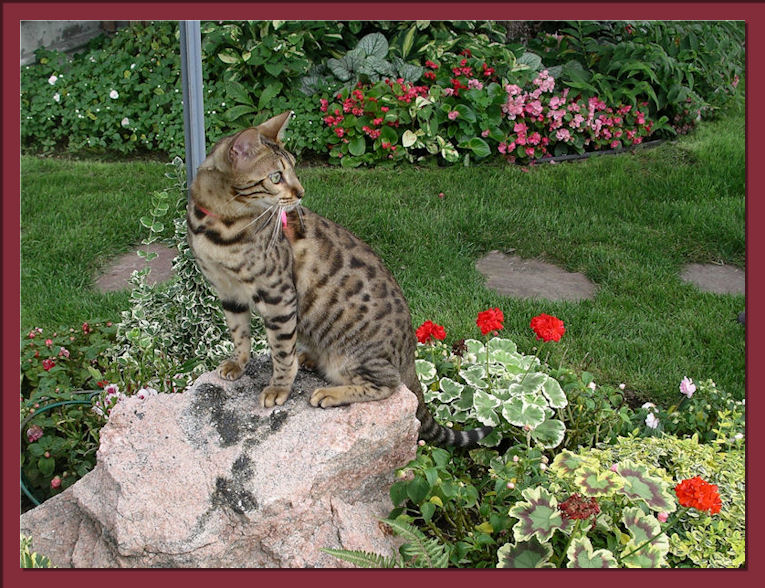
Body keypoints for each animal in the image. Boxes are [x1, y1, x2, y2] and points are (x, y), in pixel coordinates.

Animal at [188, 112, 492, 448]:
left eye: (293, 168)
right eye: (276, 177)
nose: (301, 193)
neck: (221, 228)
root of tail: (410, 356)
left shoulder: (278, 295)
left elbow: (280, 351)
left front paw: (279, 387)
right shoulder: (228, 292)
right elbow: (240, 335)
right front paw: (237, 363)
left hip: (356, 355)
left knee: (389, 385)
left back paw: (330, 393)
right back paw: (309, 358)